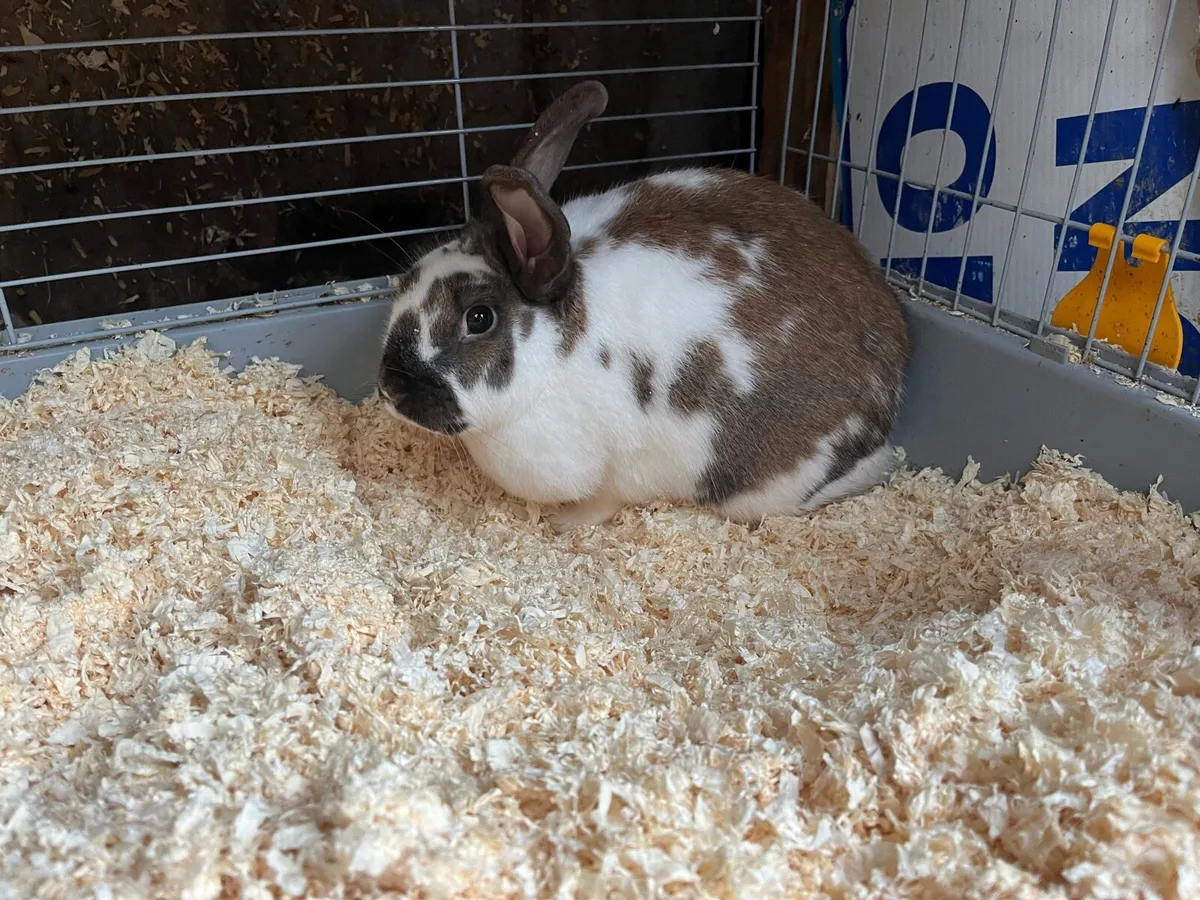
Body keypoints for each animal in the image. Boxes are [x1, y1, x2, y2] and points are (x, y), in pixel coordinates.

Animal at [376, 80, 911, 533]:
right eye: (409, 276)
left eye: (479, 318)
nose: (390, 388)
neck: (556, 355)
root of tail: (892, 384)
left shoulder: (617, 467)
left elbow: (605, 500)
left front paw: (566, 524)